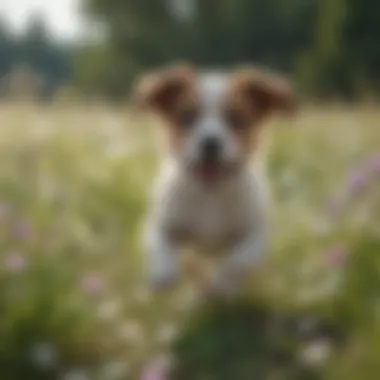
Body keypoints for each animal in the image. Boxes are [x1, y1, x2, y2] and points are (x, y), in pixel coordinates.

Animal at [135, 64, 296, 296]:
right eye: (187, 117)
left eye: (236, 119)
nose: (210, 143)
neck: (211, 193)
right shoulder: (160, 224)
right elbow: (161, 246)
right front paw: (164, 274)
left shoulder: (256, 235)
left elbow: (239, 262)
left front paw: (220, 285)